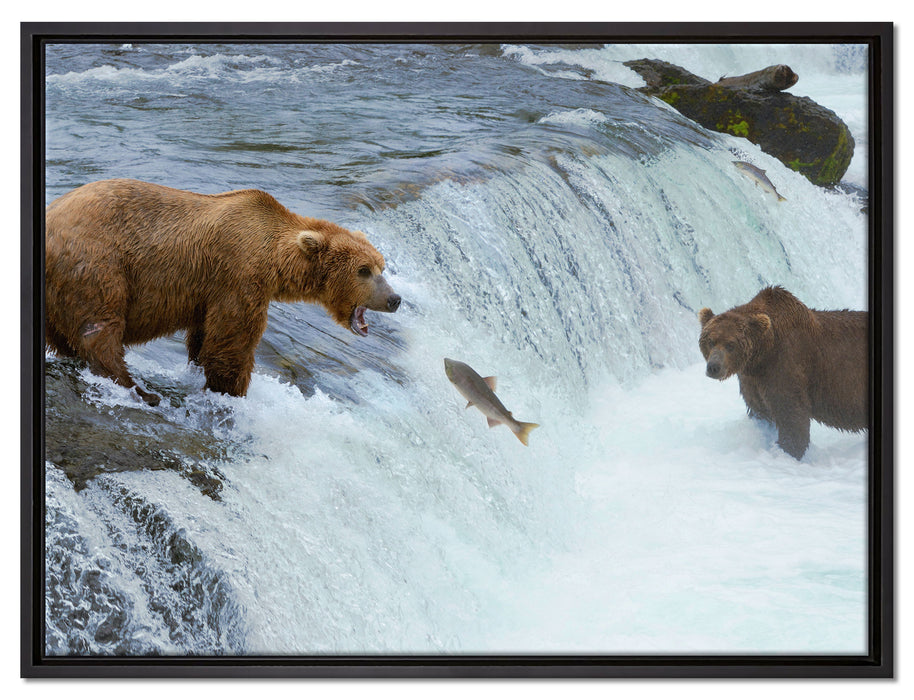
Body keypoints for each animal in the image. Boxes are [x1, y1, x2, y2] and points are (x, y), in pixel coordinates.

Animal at [45, 178, 401, 406]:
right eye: (364, 270)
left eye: (381, 265)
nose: (394, 299)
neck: (275, 258)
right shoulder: (238, 276)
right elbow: (233, 340)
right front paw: (232, 391)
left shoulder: (209, 291)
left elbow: (204, 336)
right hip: (97, 263)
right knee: (100, 328)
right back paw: (140, 390)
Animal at [697, 285, 867, 459]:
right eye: (710, 341)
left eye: (731, 344)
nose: (713, 367)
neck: (762, 355)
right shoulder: (752, 380)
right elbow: (759, 410)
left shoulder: (785, 365)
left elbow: (791, 415)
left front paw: (788, 451)